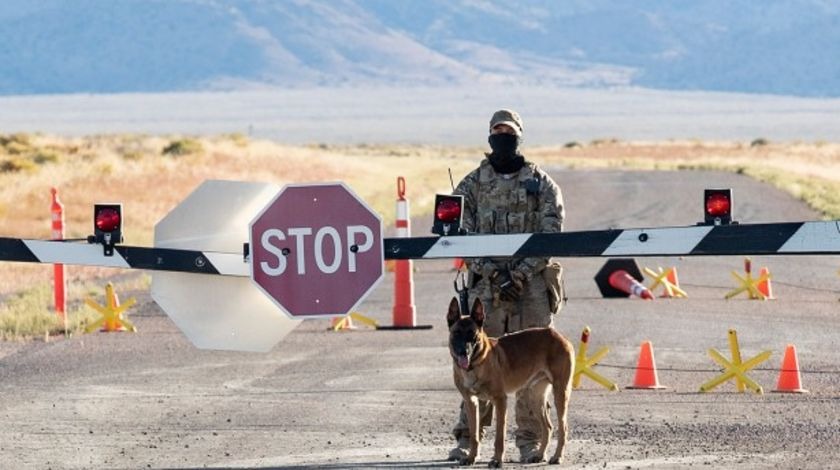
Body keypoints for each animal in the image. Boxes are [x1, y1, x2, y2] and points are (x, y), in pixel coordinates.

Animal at [446, 298, 576, 466]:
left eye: (472, 334)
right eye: (456, 333)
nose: (464, 352)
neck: (475, 365)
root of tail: (560, 336)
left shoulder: (500, 400)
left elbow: (499, 436)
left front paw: (497, 460)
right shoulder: (471, 402)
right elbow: (474, 434)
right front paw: (471, 457)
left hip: (560, 393)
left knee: (563, 428)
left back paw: (557, 456)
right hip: (535, 397)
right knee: (547, 427)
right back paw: (539, 455)